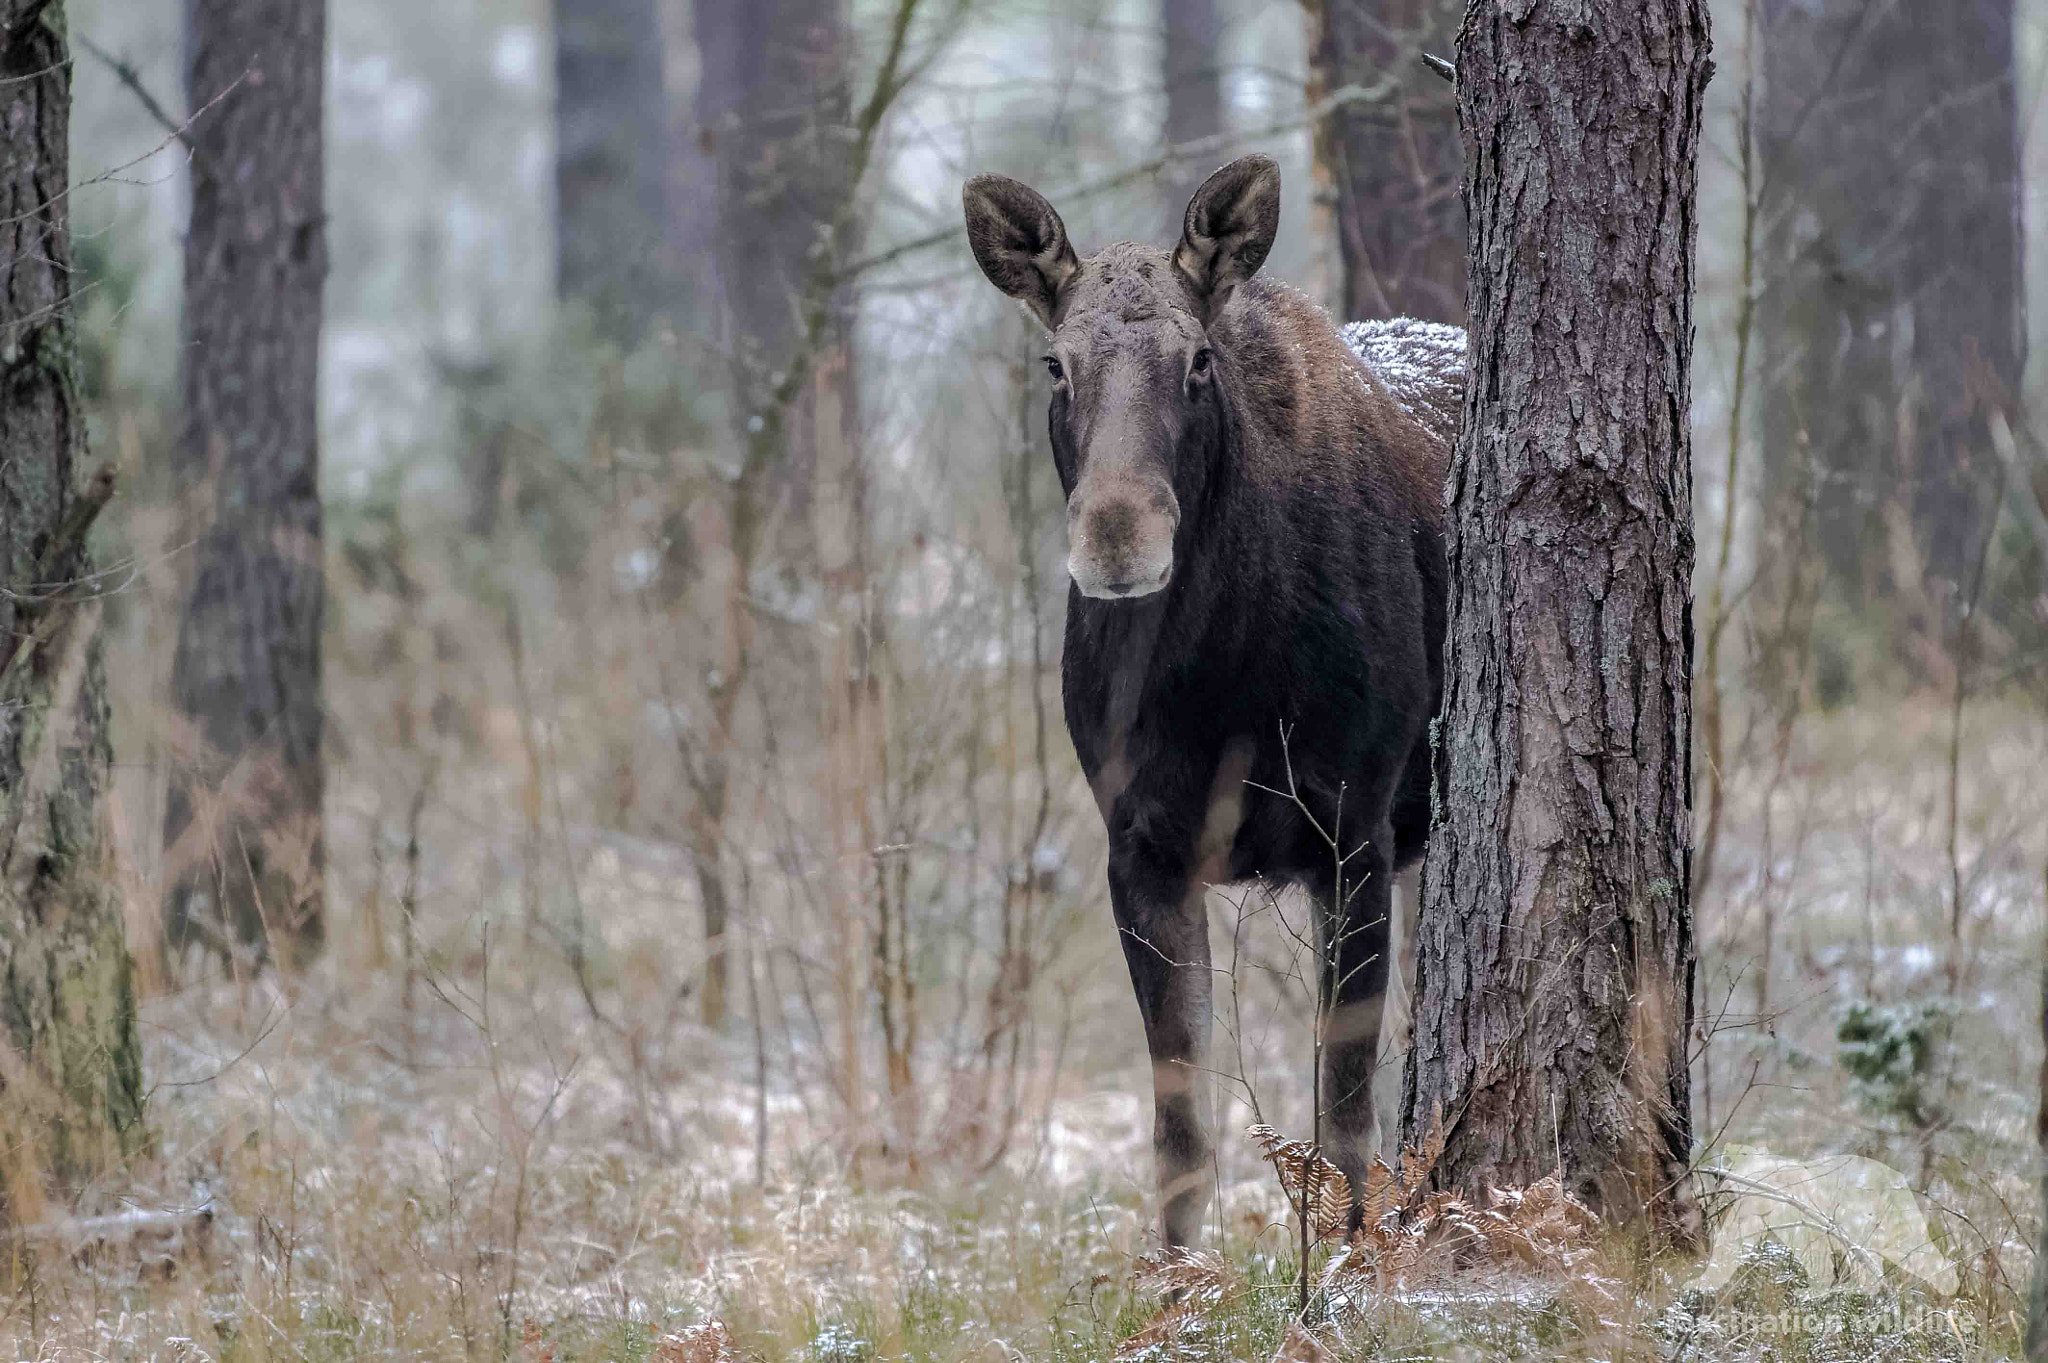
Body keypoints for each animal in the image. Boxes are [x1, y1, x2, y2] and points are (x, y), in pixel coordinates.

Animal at [966, 151, 1466, 1244]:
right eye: (1055, 365)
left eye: (1197, 361)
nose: (1118, 536)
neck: (1213, 680)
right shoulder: (1141, 850)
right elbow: (1181, 1142)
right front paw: (1172, 1281)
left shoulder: (1352, 832)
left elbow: (1344, 1130)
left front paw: (1344, 1270)